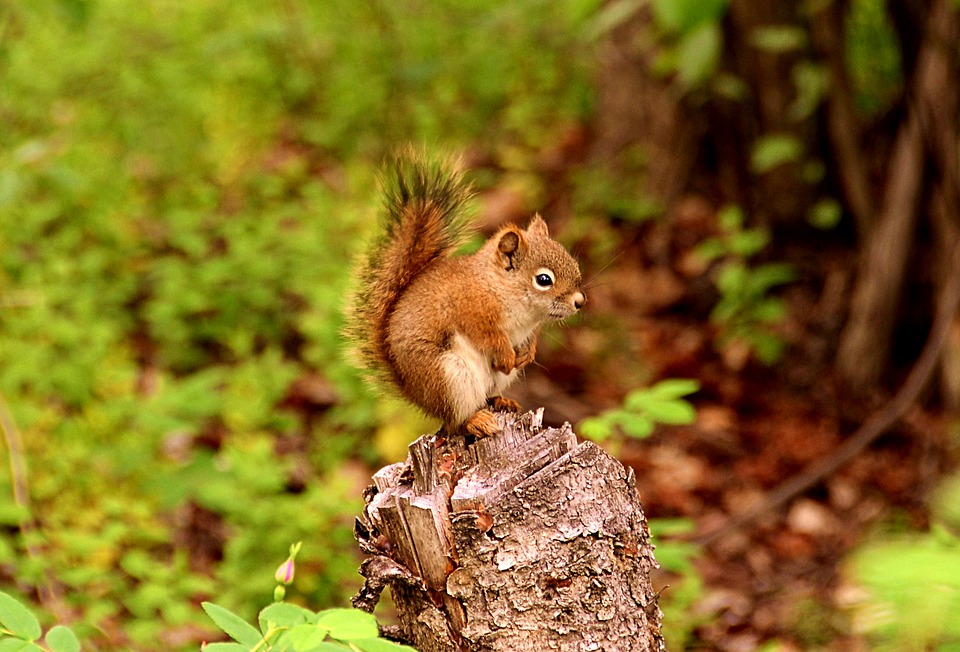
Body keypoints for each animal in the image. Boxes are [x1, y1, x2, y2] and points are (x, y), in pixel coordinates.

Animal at [346, 152, 584, 438]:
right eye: (544, 280)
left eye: (572, 261)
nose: (580, 302)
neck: (497, 287)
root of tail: (416, 394)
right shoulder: (469, 310)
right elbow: (489, 337)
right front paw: (507, 356)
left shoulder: (528, 327)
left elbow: (530, 339)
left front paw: (527, 355)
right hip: (449, 378)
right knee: (455, 422)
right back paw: (475, 420)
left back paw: (502, 401)